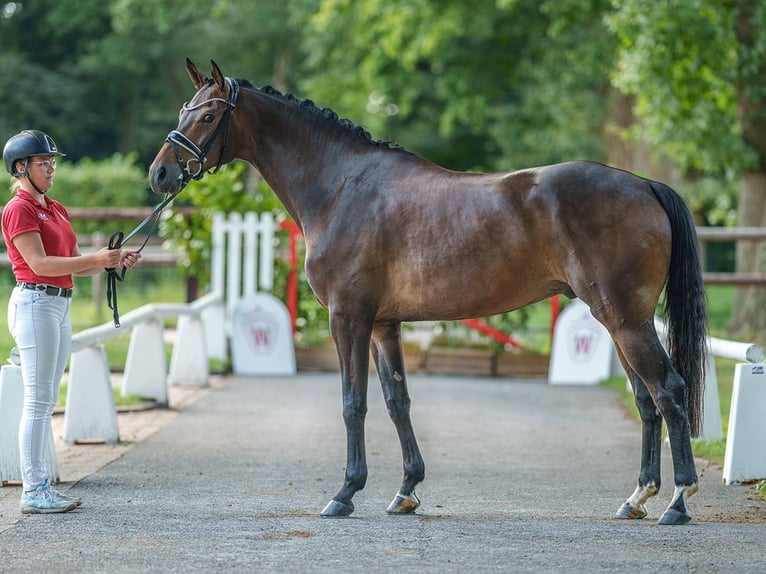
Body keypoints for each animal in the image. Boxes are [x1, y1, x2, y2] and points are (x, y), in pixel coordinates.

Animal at [148, 59, 708, 528]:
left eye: (209, 115)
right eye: (182, 111)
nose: (159, 173)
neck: (339, 188)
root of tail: (644, 184)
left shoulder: (347, 318)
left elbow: (353, 402)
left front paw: (345, 493)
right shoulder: (382, 324)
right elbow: (398, 401)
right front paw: (406, 491)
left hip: (626, 320)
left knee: (670, 390)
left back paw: (679, 501)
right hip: (618, 321)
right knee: (646, 400)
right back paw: (637, 498)